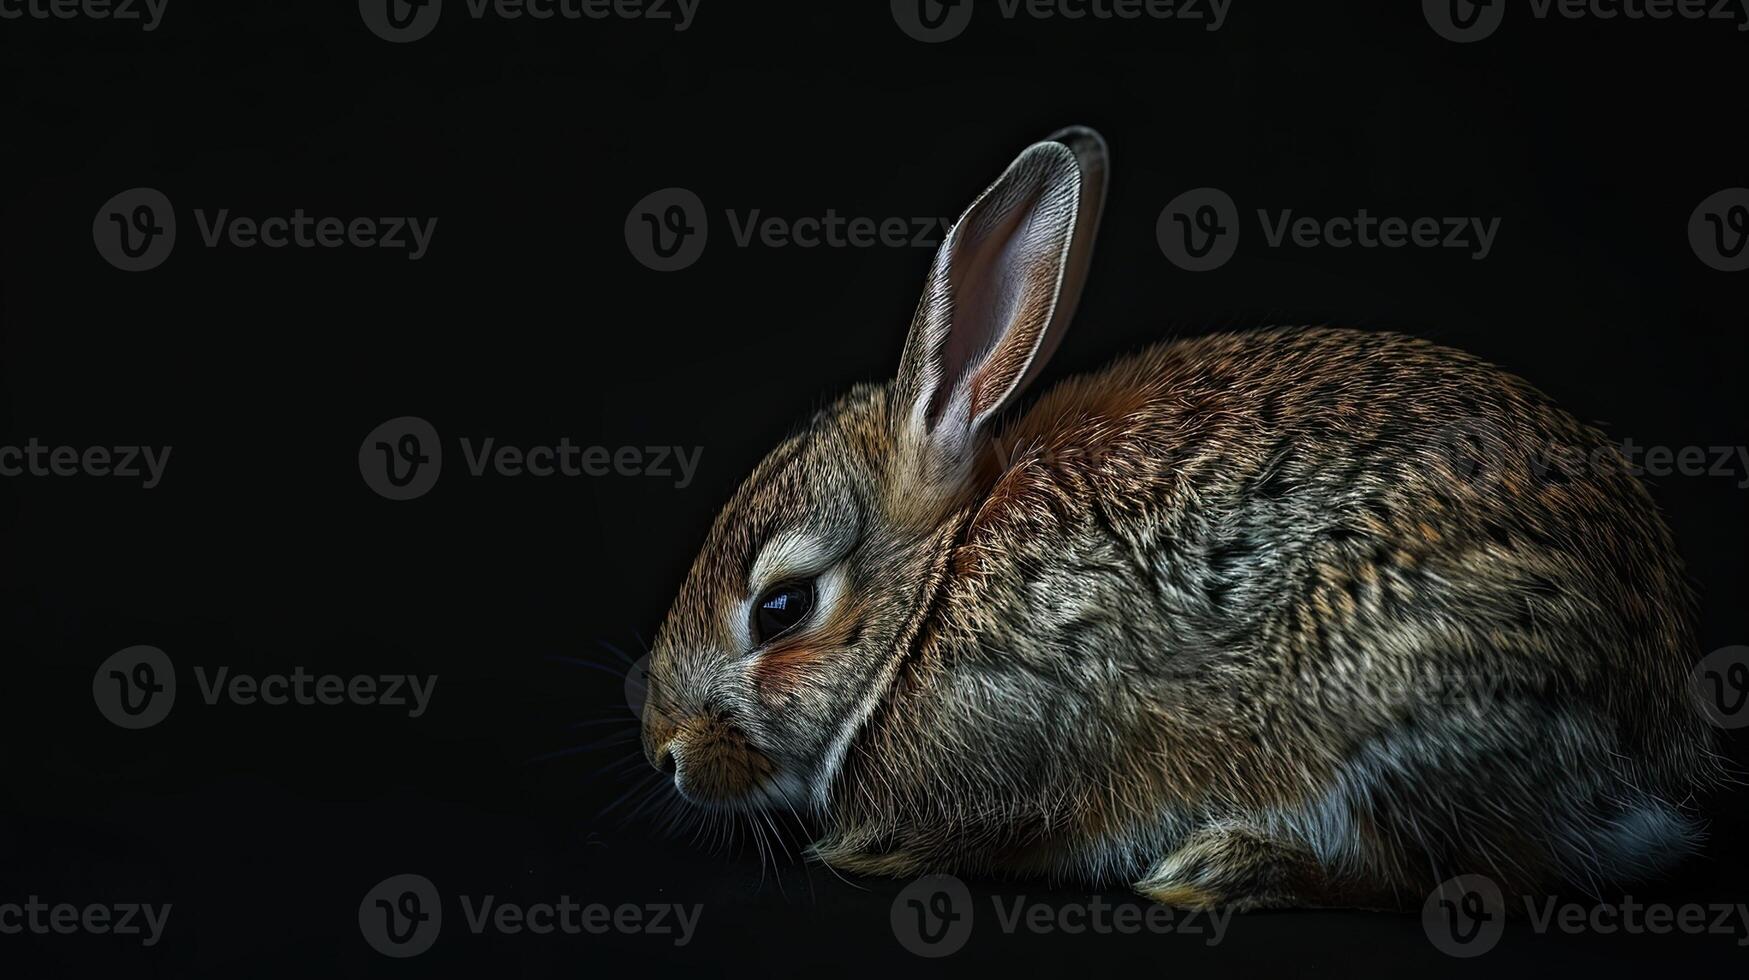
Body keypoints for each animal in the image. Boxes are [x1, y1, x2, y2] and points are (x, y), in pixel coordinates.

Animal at [637, 126, 1720, 911]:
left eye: (781, 607)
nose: (665, 753)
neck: (933, 593)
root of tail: (1659, 748)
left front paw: (862, 852)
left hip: (1389, 707)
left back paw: (1220, 867)